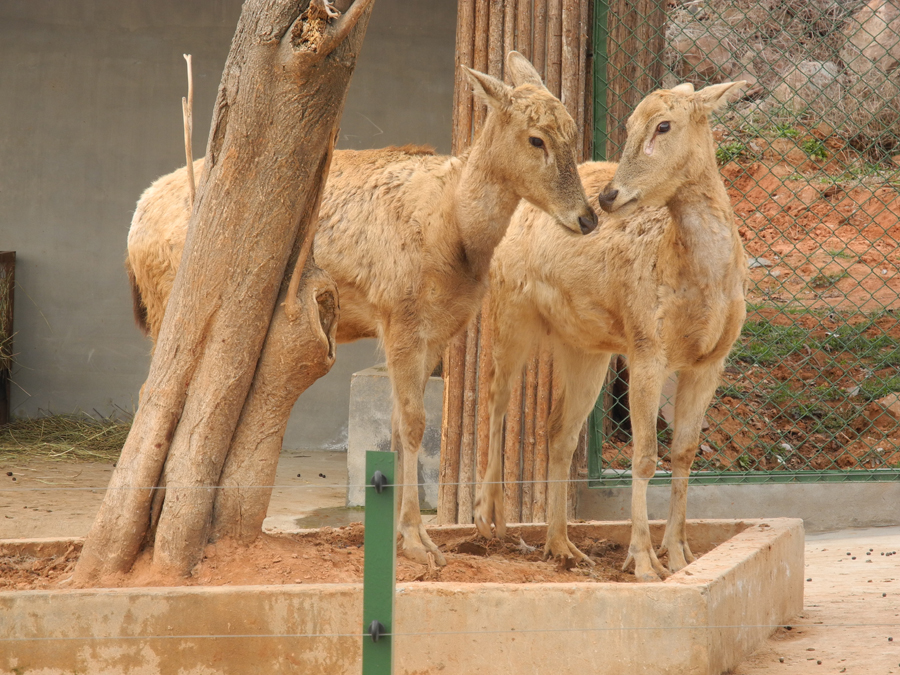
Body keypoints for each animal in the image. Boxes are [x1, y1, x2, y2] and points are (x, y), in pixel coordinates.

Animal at [123, 51, 596, 564]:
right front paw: (417, 542)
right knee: (154, 392)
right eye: (536, 139)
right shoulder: (399, 315)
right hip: (168, 305)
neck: (457, 233)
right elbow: (415, 424)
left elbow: (398, 426)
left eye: (573, 132)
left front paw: (411, 538)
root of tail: (134, 222)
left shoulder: (436, 331)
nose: (587, 217)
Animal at [474, 82, 748, 584]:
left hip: (587, 347)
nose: (607, 197)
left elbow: (684, 452)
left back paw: (562, 546)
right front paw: (643, 561)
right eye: (628, 123)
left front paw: (679, 554)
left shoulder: (711, 359)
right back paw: (489, 517)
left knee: (558, 429)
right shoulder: (646, 345)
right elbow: (644, 456)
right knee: (495, 399)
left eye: (664, 125)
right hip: (509, 311)